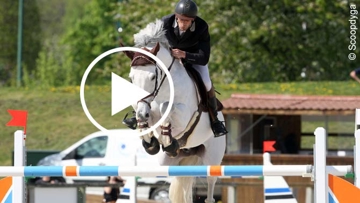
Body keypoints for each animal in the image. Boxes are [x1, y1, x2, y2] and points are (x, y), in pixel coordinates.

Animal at [123, 19, 225, 203]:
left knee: (210, 185)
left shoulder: (183, 115)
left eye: (153, 77)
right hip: (168, 163)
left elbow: (166, 109)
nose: (142, 113)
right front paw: (150, 141)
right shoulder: (145, 107)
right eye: (131, 78)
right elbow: (146, 117)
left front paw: (166, 137)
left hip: (213, 158)